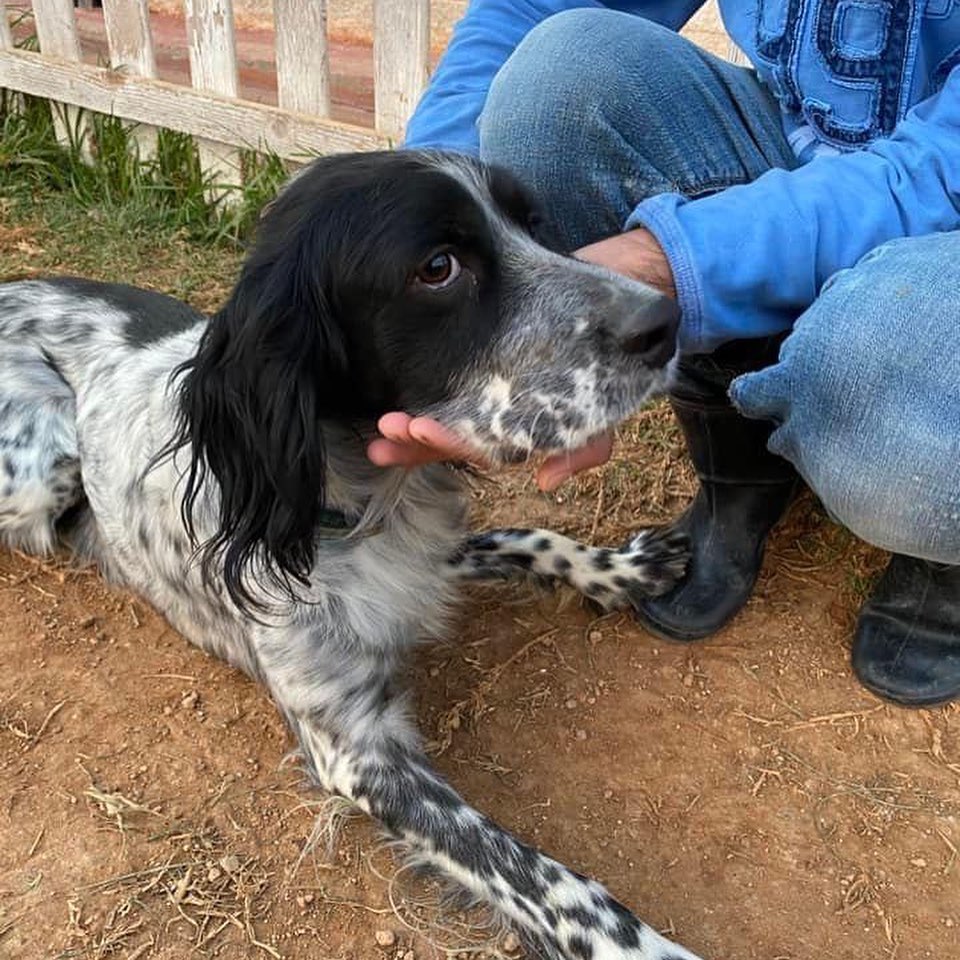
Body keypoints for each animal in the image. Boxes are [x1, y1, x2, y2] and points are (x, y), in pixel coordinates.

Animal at [1, 152, 704, 960]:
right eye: (438, 268)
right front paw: (645, 948)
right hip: (44, 465)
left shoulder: (426, 556)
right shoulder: (358, 750)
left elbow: (525, 537)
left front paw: (615, 568)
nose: (666, 320)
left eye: (532, 225)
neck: (353, 499)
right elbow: (547, 882)